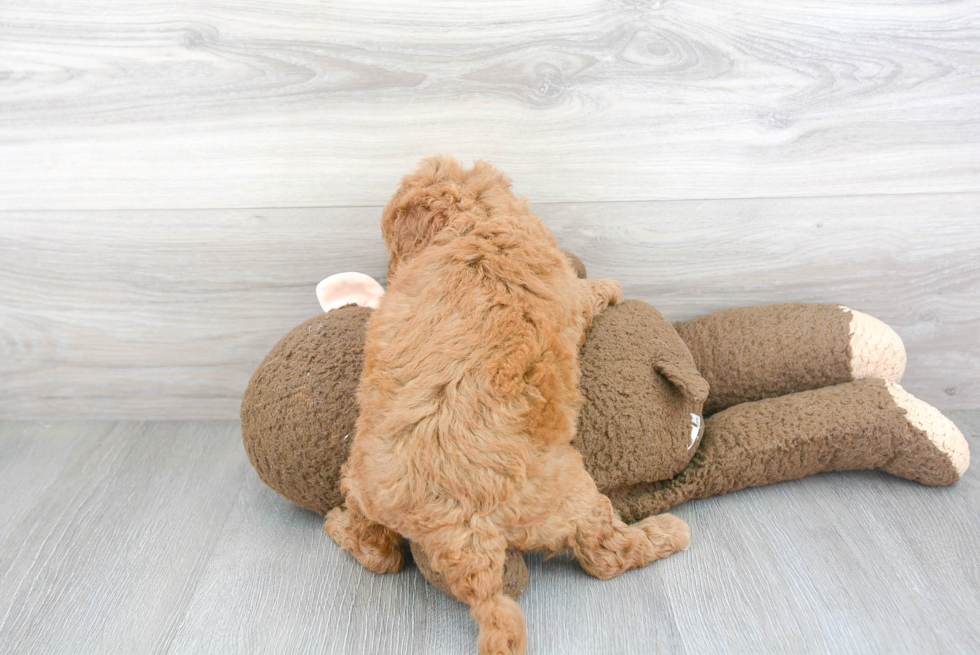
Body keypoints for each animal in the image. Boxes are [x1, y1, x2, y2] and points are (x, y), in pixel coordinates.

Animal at [324, 155, 688, 655]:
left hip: (362, 488)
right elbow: (587, 292)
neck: (473, 221)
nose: (390, 271)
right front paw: (610, 285)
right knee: (606, 555)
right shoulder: (569, 294)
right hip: (568, 497)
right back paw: (666, 533)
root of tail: (461, 535)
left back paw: (337, 526)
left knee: (378, 553)